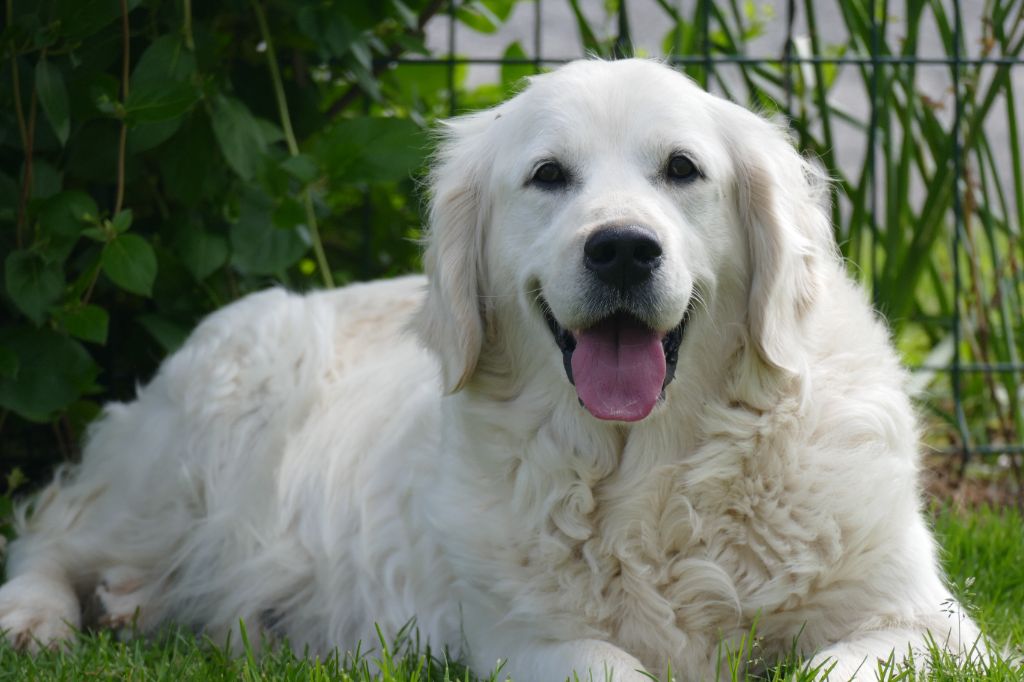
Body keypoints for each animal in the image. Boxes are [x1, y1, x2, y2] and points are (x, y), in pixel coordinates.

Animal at [0, 59, 974, 679]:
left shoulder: (927, 622)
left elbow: (836, 666)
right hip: (196, 445)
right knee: (53, 526)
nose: (623, 249)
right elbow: (610, 664)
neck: (653, 478)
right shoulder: (522, 637)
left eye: (682, 168)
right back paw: (34, 618)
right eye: (547, 175)